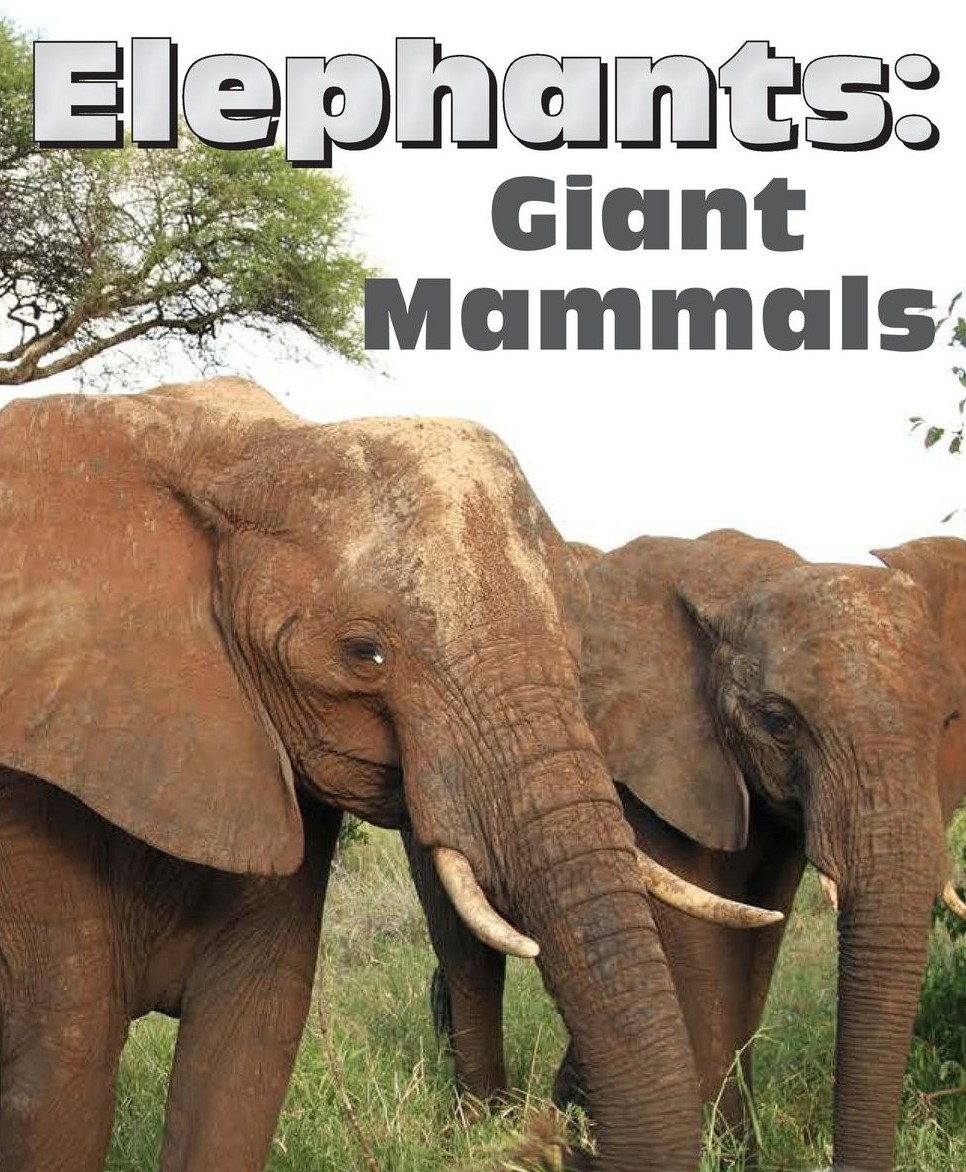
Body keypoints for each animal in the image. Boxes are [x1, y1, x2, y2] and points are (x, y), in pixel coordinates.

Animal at [414, 528, 966, 1172]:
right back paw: (481, 1125)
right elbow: (698, 941)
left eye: (949, 720)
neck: (747, 581)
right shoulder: (643, 764)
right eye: (779, 722)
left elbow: (761, 927)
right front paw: (722, 1153)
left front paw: (738, 1152)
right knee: (466, 943)